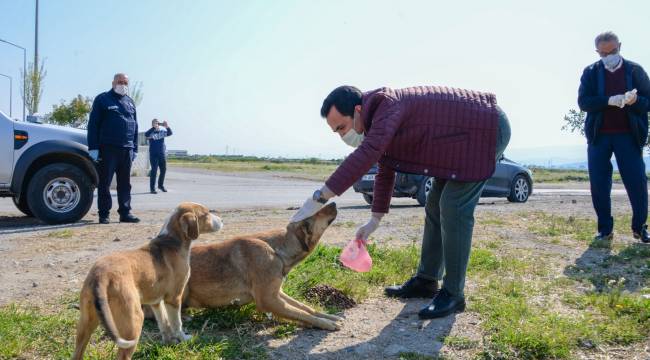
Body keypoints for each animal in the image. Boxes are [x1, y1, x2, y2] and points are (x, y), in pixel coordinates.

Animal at [71, 202, 223, 360]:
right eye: (206, 214)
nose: (222, 220)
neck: (172, 241)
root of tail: (100, 277)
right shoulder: (174, 298)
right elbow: (176, 323)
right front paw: (183, 338)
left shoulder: (155, 301)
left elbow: (164, 323)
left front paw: (168, 342)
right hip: (134, 322)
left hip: (85, 325)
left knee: (78, 352)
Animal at [182, 201, 342, 330]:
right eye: (317, 212)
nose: (334, 203)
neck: (276, 250)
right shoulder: (268, 300)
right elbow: (301, 313)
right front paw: (326, 323)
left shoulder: (277, 293)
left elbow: (305, 307)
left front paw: (328, 317)